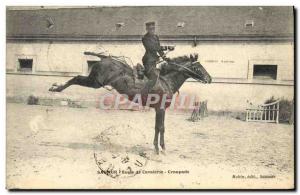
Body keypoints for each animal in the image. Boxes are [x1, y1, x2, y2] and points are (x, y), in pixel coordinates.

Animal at [49, 51, 212, 154]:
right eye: (197, 67)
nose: (209, 78)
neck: (166, 81)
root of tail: (103, 59)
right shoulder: (160, 109)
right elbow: (160, 127)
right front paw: (160, 149)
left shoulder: (158, 110)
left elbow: (158, 128)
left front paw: (158, 148)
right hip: (94, 82)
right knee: (76, 78)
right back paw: (56, 88)